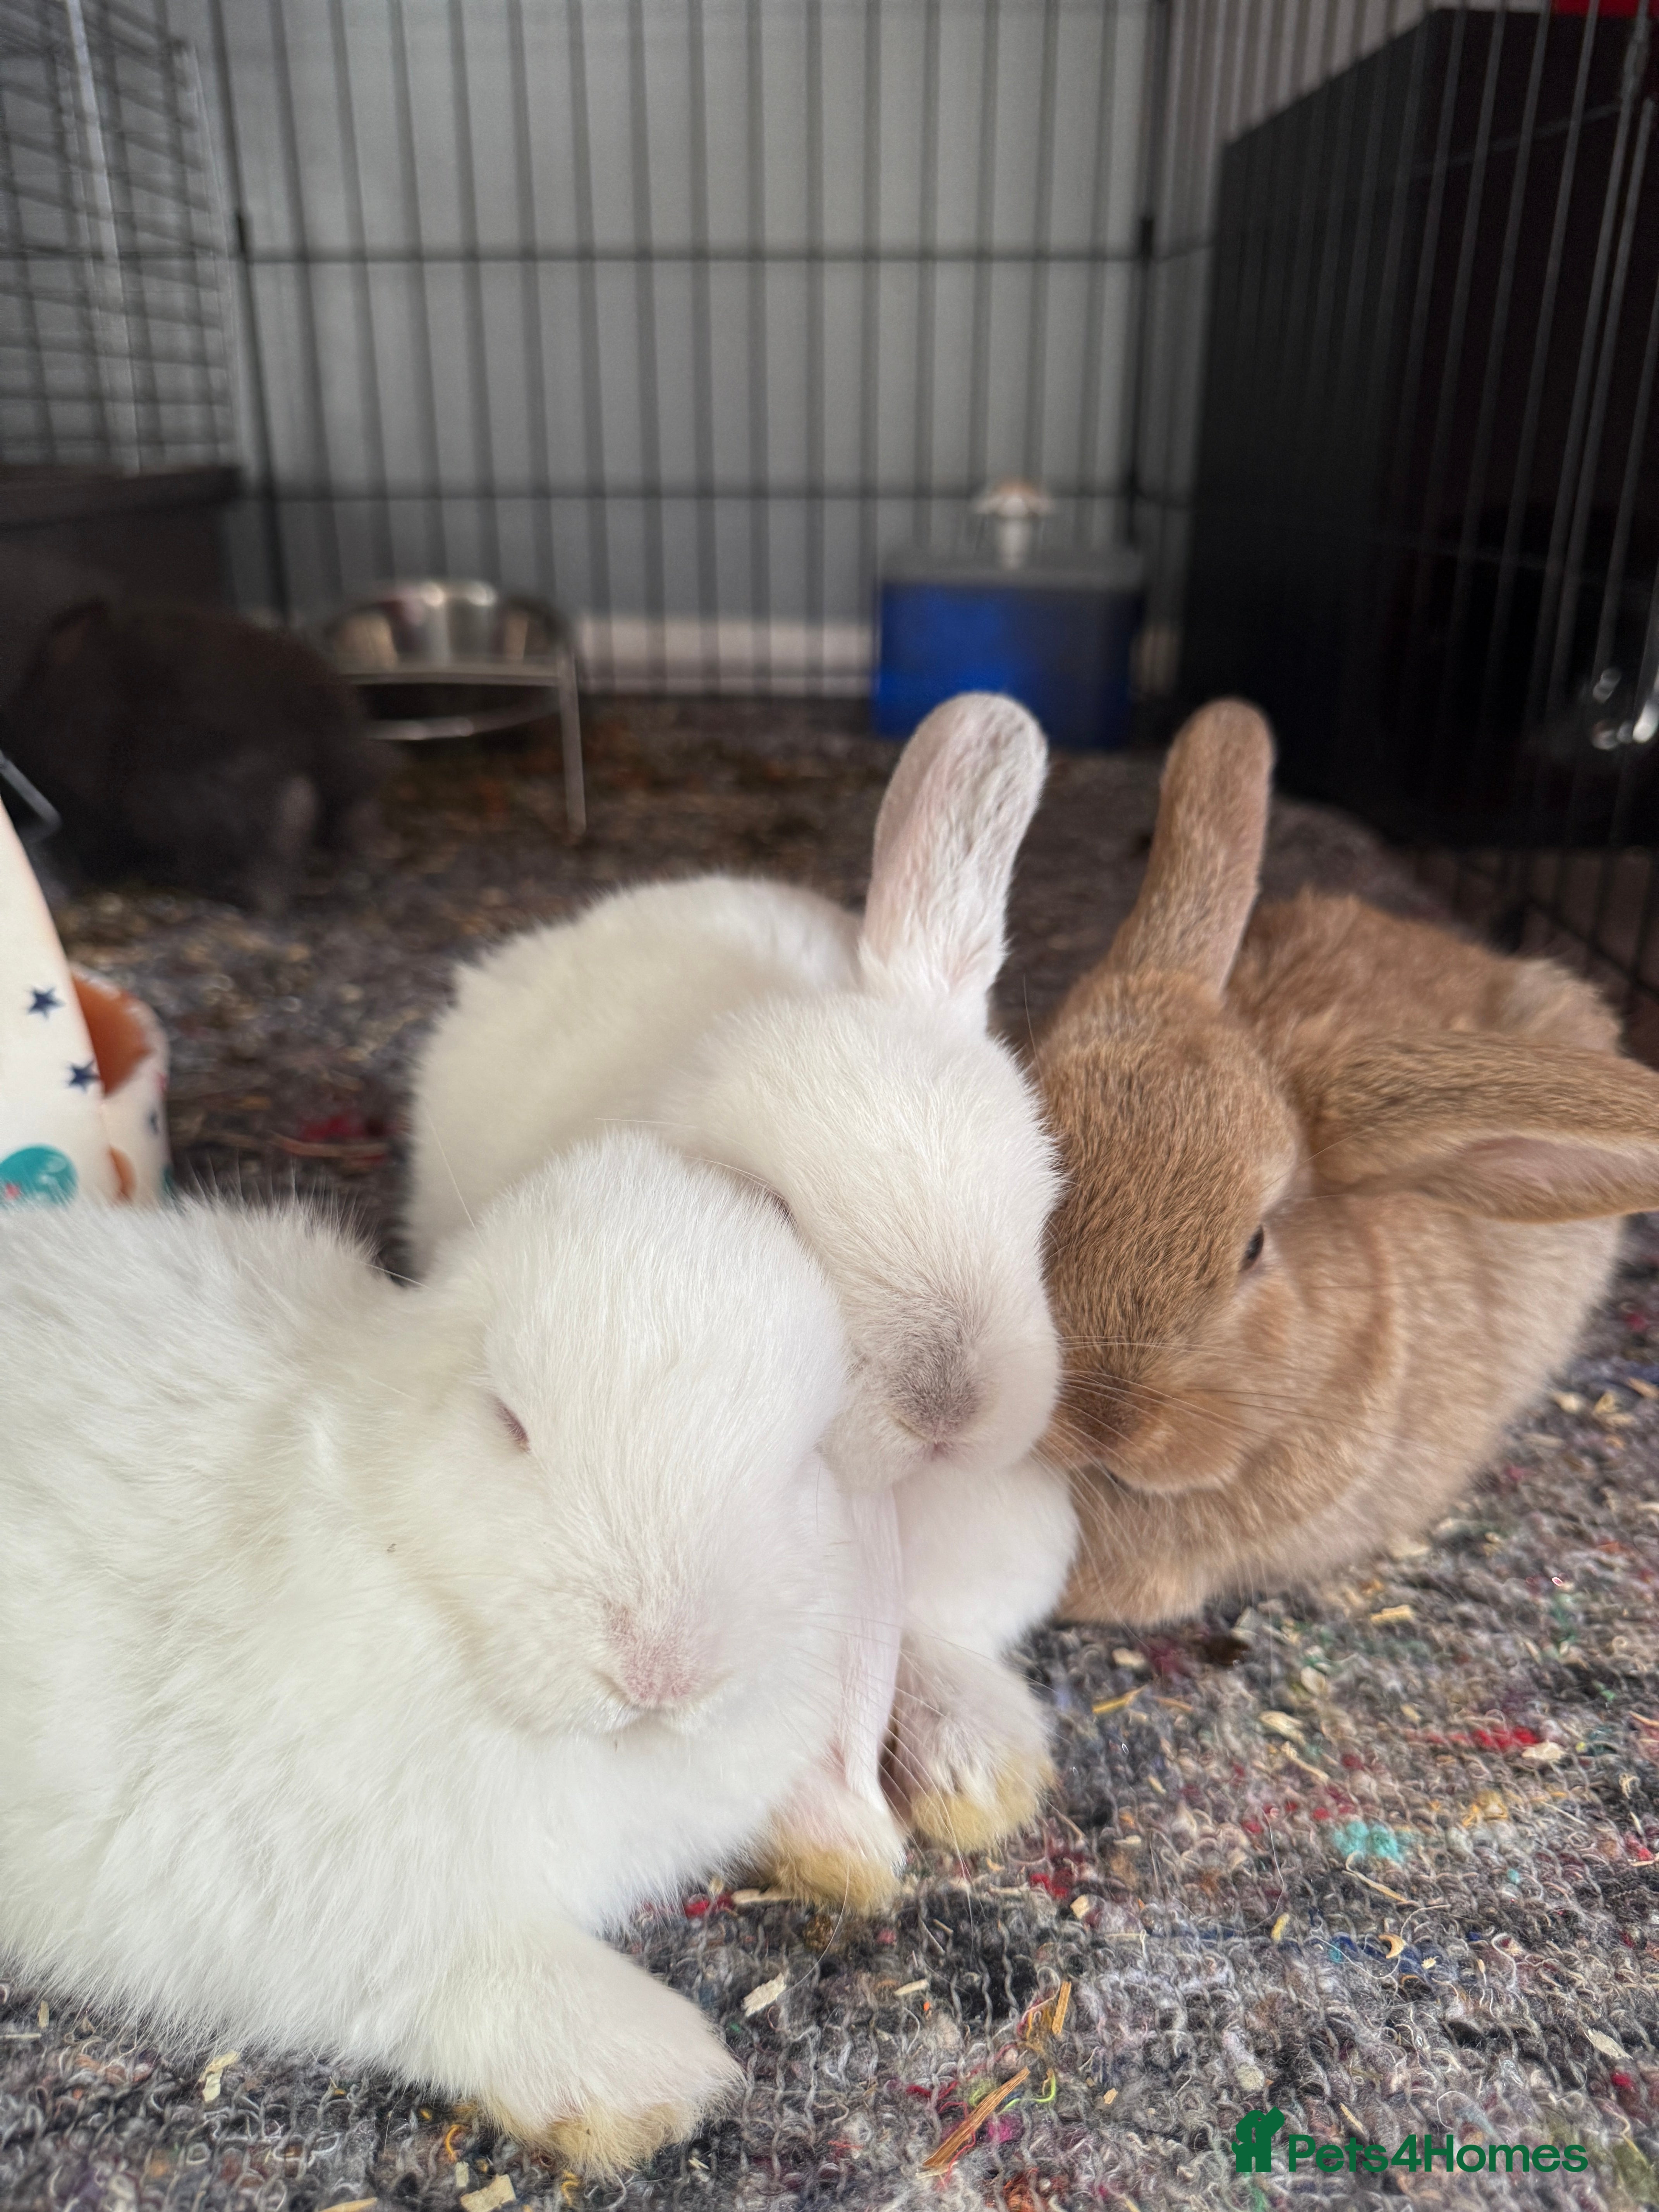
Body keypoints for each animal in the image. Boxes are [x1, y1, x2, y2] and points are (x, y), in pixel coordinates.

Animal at [0, 1131, 858, 2180]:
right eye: (508, 1421)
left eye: (810, 1453)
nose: (664, 1669)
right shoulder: (267, 1865)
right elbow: (458, 1961)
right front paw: (654, 2080)